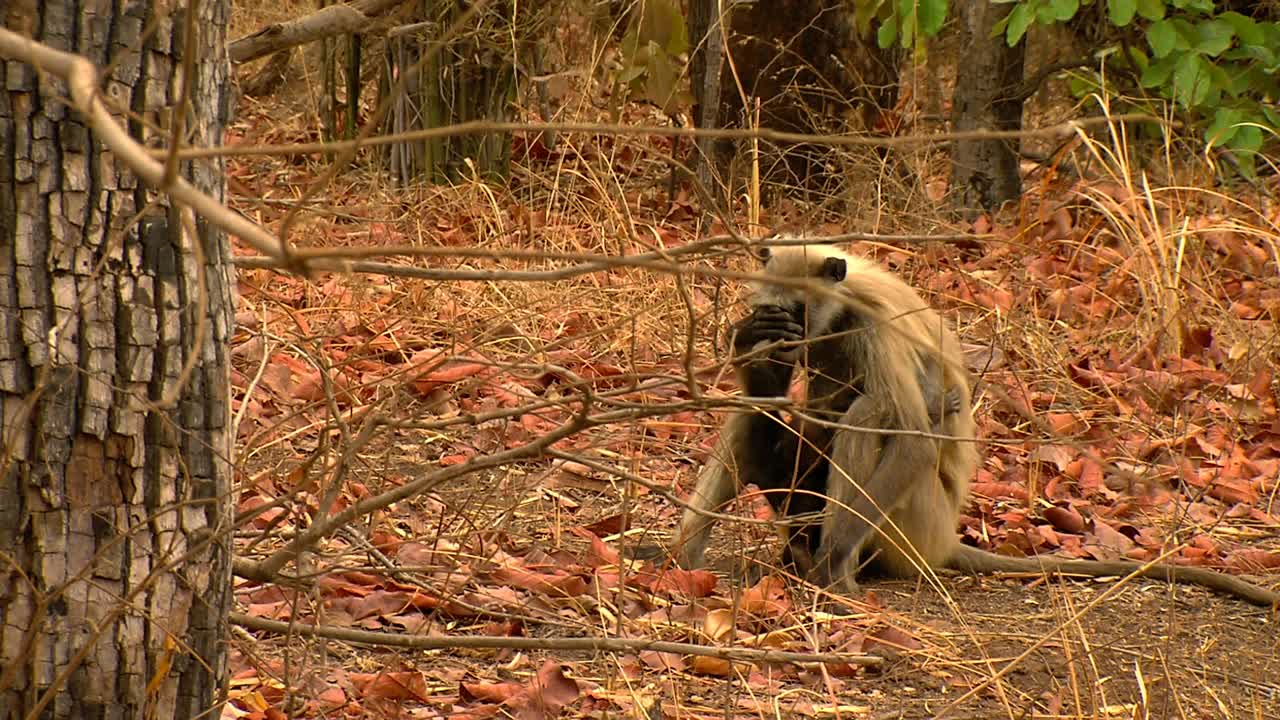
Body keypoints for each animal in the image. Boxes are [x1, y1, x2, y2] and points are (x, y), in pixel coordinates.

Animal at [675, 242, 1274, 604]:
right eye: (775, 310)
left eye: (799, 309)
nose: (782, 328)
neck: (841, 306)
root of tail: (943, 541)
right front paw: (750, 344)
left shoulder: (877, 324)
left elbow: (915, 440)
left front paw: (835, 563)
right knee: (755, 418)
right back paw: (685, 561)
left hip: (913, 525)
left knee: (873, 414)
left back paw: (831, 566)